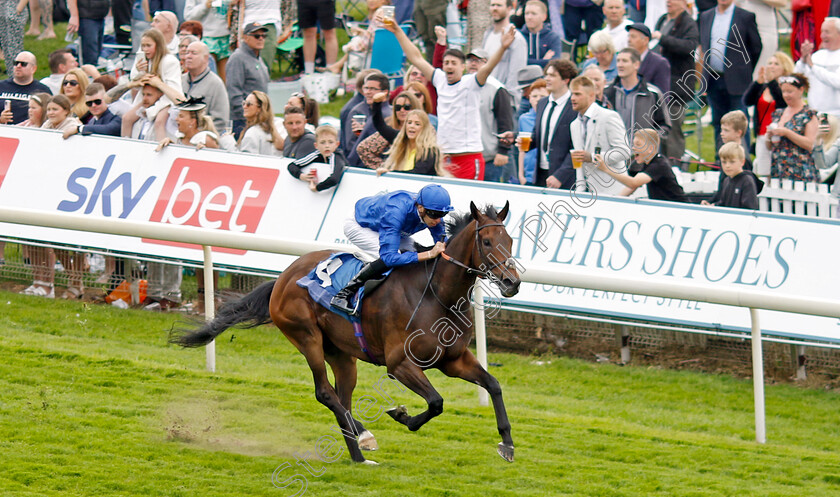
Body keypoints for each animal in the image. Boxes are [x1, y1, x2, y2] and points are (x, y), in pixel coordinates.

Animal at [172, 200, 520, 464]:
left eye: (511, 241)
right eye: (486, 242)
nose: (512, 282)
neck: (438, 294)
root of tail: (283, 277)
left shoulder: (454, 359)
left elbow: (494, 385)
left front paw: (507, 444)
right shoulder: (399, 364)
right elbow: (436, 402)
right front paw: (401, 415)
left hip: (341, 354)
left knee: (343, 400)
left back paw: (359, 456)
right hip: (306, 336)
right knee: (325, 392)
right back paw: (364, 435)